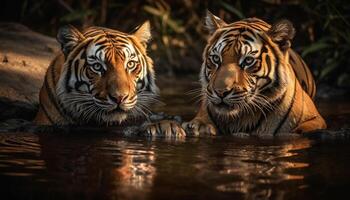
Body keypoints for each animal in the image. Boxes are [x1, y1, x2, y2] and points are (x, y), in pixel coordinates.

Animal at [182, 11, 326, 136]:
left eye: (248, 60)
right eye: (216, 58)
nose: (220, 92)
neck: (240, 118)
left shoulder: (316, 120)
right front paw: (199, 128)